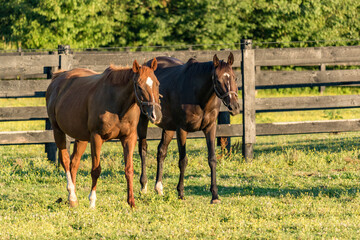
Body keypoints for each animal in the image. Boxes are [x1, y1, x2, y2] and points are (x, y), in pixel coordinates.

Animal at [45, 58, 161, 208]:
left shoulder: (129, 138)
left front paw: (131, 203)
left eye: (157, 83)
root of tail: (58, 78)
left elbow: (129, 169)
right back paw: (72, 194)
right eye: (139, 86)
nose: (156, 115)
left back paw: (73, 200)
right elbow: (96, 170)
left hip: (81, 137)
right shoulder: (96, 138)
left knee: (74, 163)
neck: (117, 104)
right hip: (58, 131)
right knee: (65, 160)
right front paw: (92, 202)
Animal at [139, 52, 240, 202]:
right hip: (143, 119)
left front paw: (215, 195)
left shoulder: (210, 128)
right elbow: (183, 161)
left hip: (169, 127)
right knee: (143, 149)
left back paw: (158, 188)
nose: (234, 107)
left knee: (161, 151)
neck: (199, 96)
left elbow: (212, 159)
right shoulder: (182, 130)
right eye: (217, 80)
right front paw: (181, 193)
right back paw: (143, 187)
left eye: (234, 77)